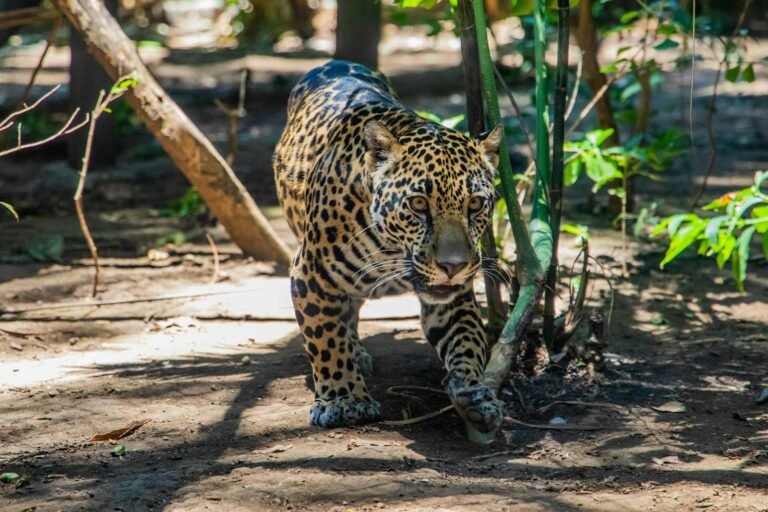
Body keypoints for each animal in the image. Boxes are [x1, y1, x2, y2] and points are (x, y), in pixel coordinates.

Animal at [273, 60, 504, 435]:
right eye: (419, 204)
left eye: (475, 204)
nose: (453, 265)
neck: (392, 251)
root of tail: (333, 62)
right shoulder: (311, 274)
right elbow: (325, 338)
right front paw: (343, 400)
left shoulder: (453, 296)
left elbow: (468, 340)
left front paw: (473, 392)